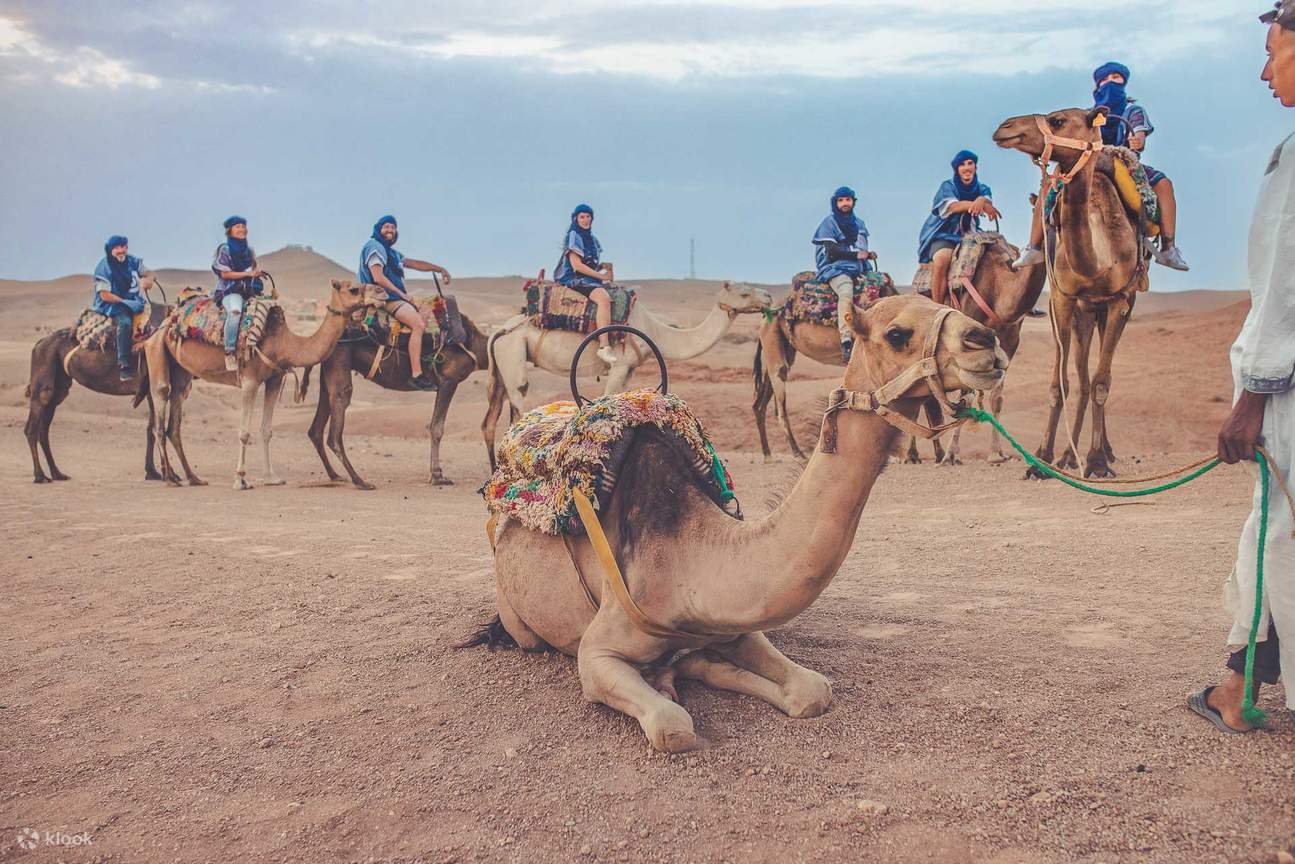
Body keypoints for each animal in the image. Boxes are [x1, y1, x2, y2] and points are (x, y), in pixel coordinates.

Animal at [143, 279, 384, 490]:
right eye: (353, 289)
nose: (381, 292)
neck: (284, 343)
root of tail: (168, 321)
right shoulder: (250, 380)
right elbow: (244, 432)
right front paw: (240, 480)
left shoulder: (274, 379)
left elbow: (266, 430)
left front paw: (272, 478)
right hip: (156, 350)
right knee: (161, 406)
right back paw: (169, 478)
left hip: (181, 371)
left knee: (174, 419)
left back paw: (192, 478)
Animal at [306, 313, 490, 489]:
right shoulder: (448, 381)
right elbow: (436, 428)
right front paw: (437, 476)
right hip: (339, 365)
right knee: (335, 430)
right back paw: (360, 482)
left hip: (327, 374)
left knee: (315, 430)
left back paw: (335, 476)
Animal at [482, 281, 771, 469]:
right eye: (744, 292)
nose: (769, 296)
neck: (655, 331)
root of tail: (499, 331)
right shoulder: (620, 364)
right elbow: (608, 398)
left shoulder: (630, 369)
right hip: (513, 352)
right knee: (519, 399)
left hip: (501, 365)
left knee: (491, 418)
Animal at [902, 236, 1047, 465]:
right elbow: (966, 395)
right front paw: (952, 454)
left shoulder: (1009, 343)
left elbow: (996, 398)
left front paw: (997, 454)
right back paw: (910, 455)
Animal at [994, 106, 1148, 478]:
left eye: (1058, 120)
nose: (1004, 127)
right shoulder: (1062, 300)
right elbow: (1060, 383)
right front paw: (1042, 458)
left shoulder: (1120, 302)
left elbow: (1102, 382)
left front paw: (1096, 461)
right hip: (1084, 314)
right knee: (1080, 377)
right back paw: (1068, 453)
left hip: (1109, 310)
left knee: (1094, 379)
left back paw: (1100, 452)